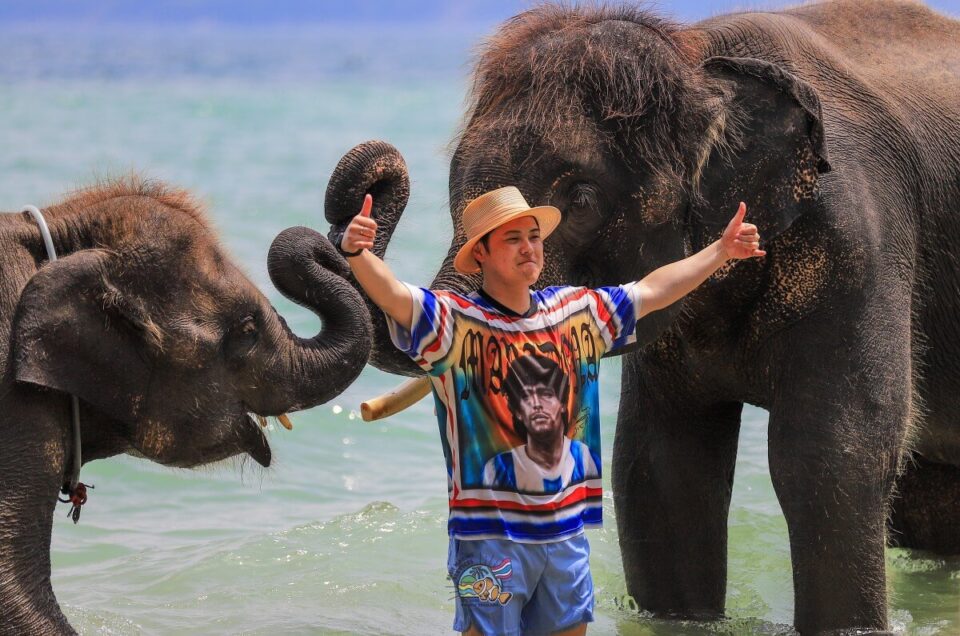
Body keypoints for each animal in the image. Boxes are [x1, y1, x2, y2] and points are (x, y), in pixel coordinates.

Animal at [322, 0, 960, 633]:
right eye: (459, 192)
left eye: (579, 200)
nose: (367, 186)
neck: (699, 63)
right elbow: (661, 469)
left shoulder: (860, 246)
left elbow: (831, 454)